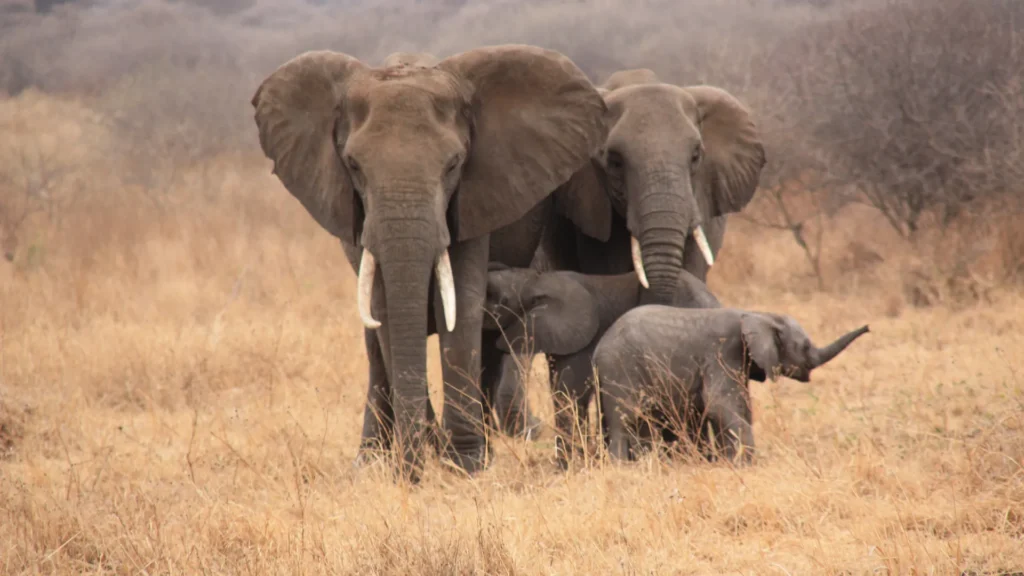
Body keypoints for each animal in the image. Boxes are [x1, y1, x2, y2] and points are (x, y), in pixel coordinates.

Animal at [251, 45, 608, 482]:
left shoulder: (474, 196)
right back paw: (370, 461)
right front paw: (423, 463)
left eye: (453, 163)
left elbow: (464, 308)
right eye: (353, 166)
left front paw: (466, 466)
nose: (413, 470)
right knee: (374, 345)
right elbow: (386, 312)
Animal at [592, 306, 869, 464]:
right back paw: (623, 467)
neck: (759, 314)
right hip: (620, 369)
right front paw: (744, 464)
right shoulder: (723, 353)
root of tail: (596, 351)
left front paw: (727, 462)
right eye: (805, 346)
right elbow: (719, 405)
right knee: (626, 419)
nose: (868, 327)